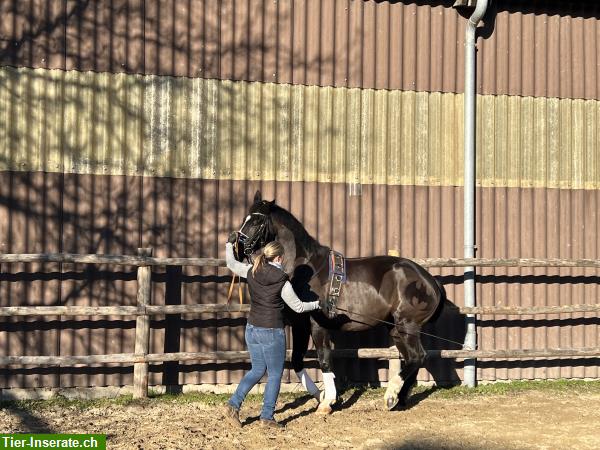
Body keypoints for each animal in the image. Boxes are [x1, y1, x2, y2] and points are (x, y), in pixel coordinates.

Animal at [231, 192, 446, 414]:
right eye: (246, 218)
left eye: (257, 221)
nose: (237, 247)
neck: (308, 270)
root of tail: (429, 281)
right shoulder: (300, 325)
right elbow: (297, 360)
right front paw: (323, 397)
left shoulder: (318, 325)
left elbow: (324, 360)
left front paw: (327, 402)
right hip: (396, 329)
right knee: (413, 358)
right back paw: (399, 399)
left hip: (407, 326)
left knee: (417, 357)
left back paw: (390, 395)